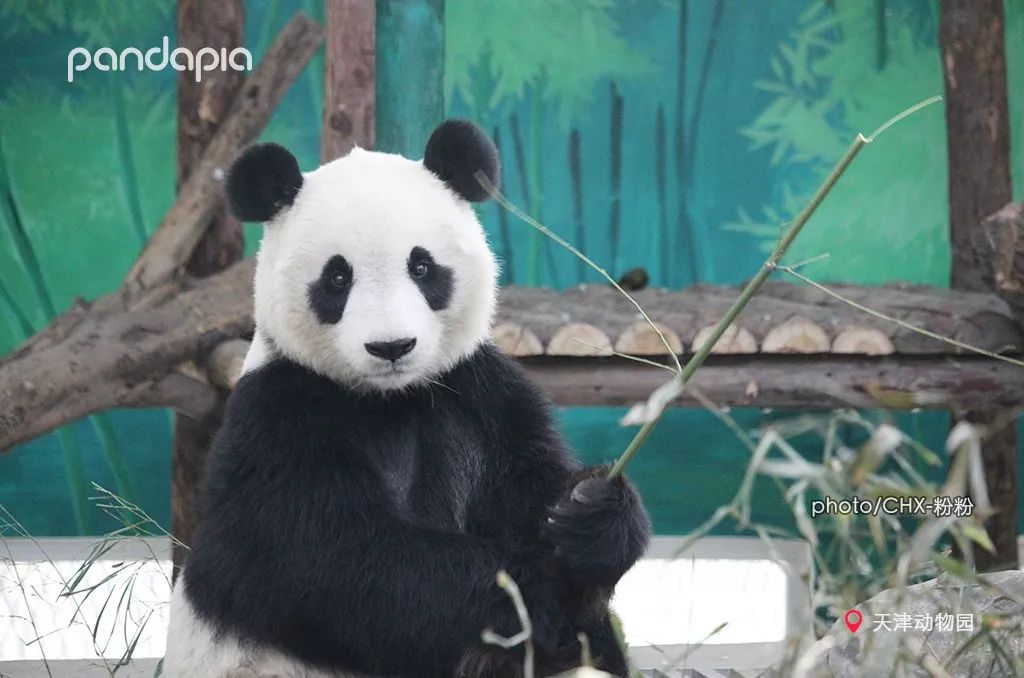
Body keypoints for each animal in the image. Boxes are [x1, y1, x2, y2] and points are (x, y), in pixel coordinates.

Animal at [163, 119, 651, 675]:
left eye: (422, 267)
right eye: (337, 277)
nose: (392, 346)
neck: (391, 399)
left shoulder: (478, 392)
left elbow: (532, 485)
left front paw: (595, 516)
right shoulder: (278, 417)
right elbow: (331, 559)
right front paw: (534, 586)